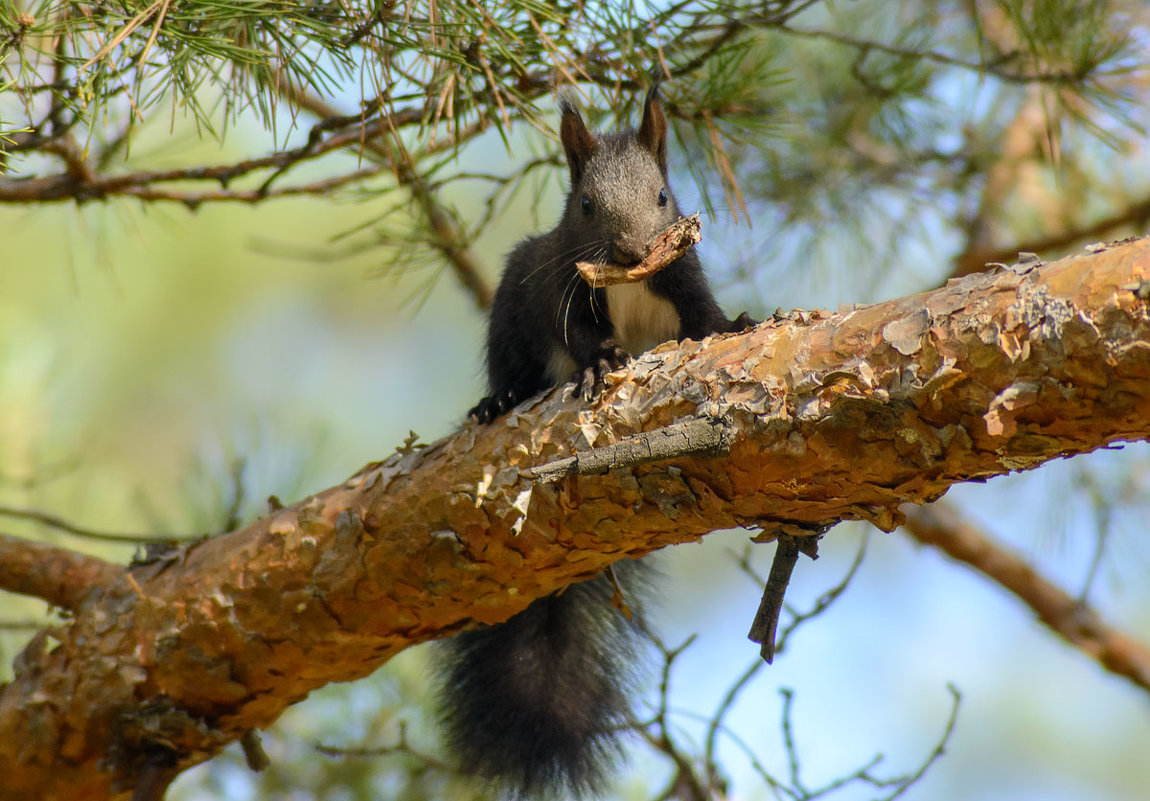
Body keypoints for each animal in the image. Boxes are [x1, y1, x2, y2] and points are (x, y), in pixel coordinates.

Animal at [439, 84, 754, 795]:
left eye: (663, 195)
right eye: (586, 204)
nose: (636, 252)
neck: (630, 285)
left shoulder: (685, 280)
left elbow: (706, 318)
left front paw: (739, 323)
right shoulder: (564, 291)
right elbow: (583, 339)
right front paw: (603, 363)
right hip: (513, 308)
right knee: (511, 369)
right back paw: (498, 400)